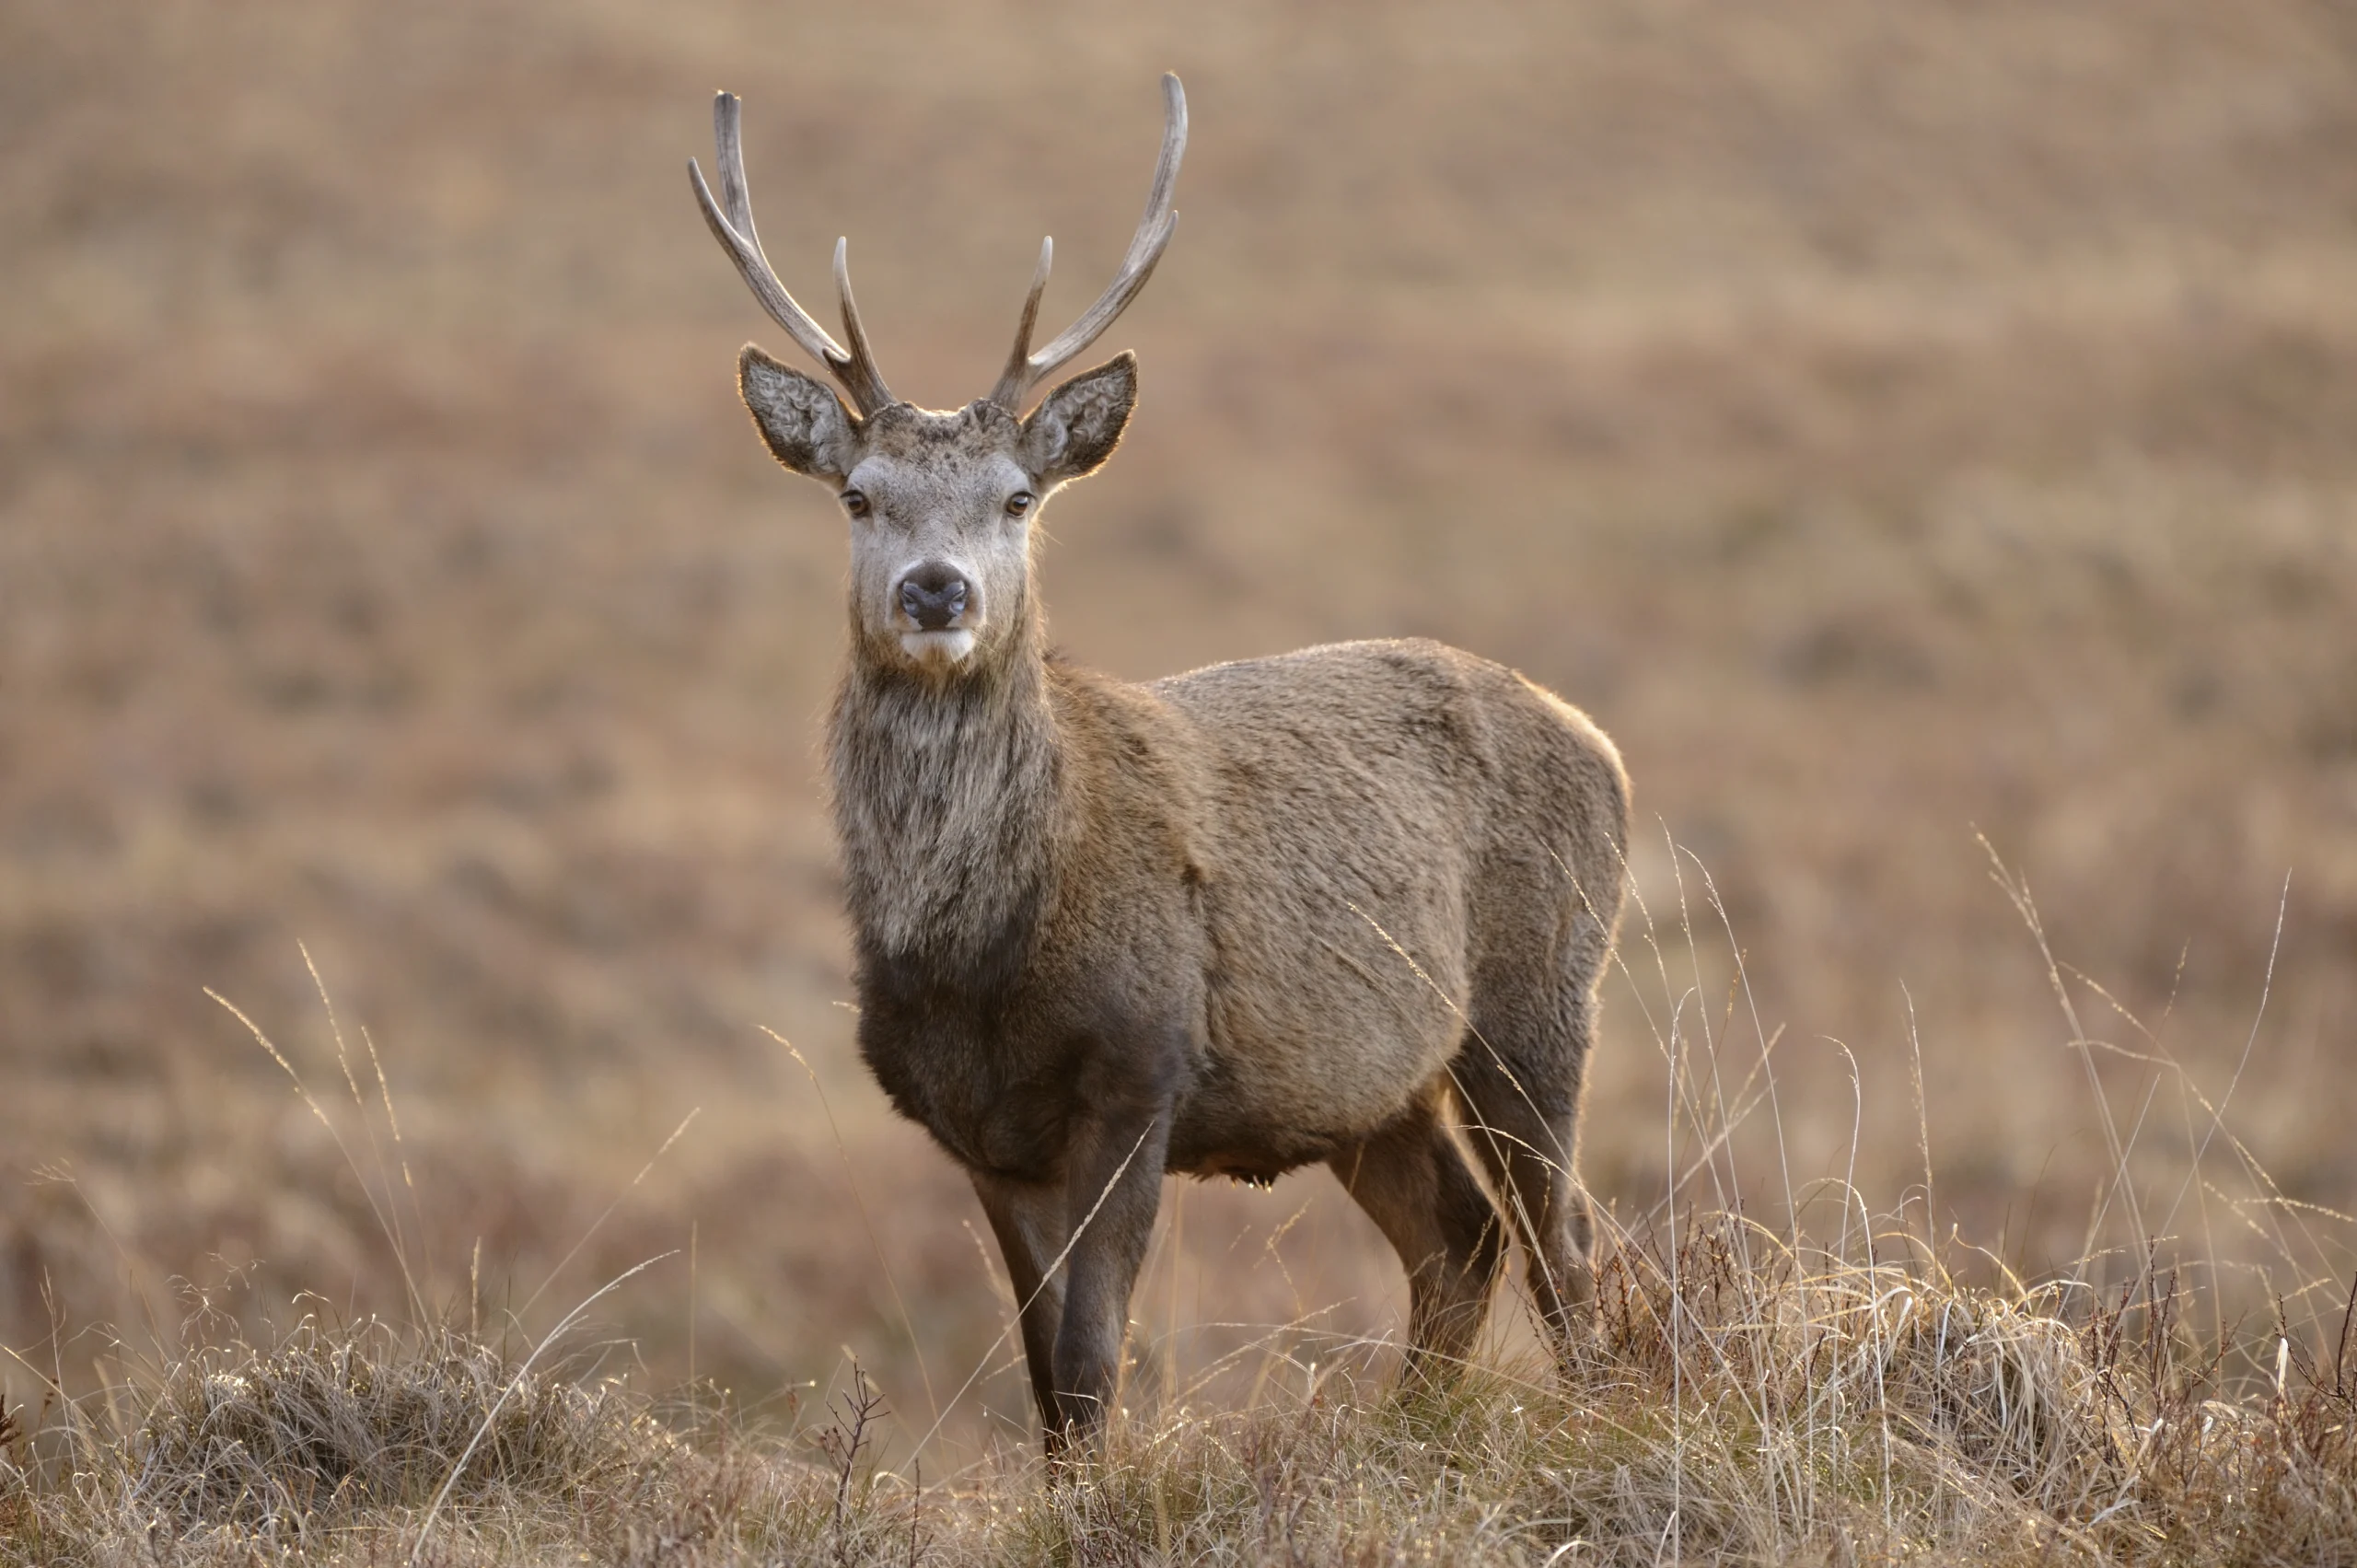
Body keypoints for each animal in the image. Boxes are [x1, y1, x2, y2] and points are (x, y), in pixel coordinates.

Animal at [689, 74, 1629, 1452]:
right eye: (858, 494)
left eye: (1019, 496)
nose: (936, 589)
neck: (985, 951)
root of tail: (1603, 744)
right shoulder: (978, 1130)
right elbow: (1046, 1385)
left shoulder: (1140, 1069)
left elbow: (1091, 1363)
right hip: (1365, 1084)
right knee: (1460, 1234)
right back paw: (1406, 1430)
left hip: (1539, 997)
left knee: (1568, 1243)